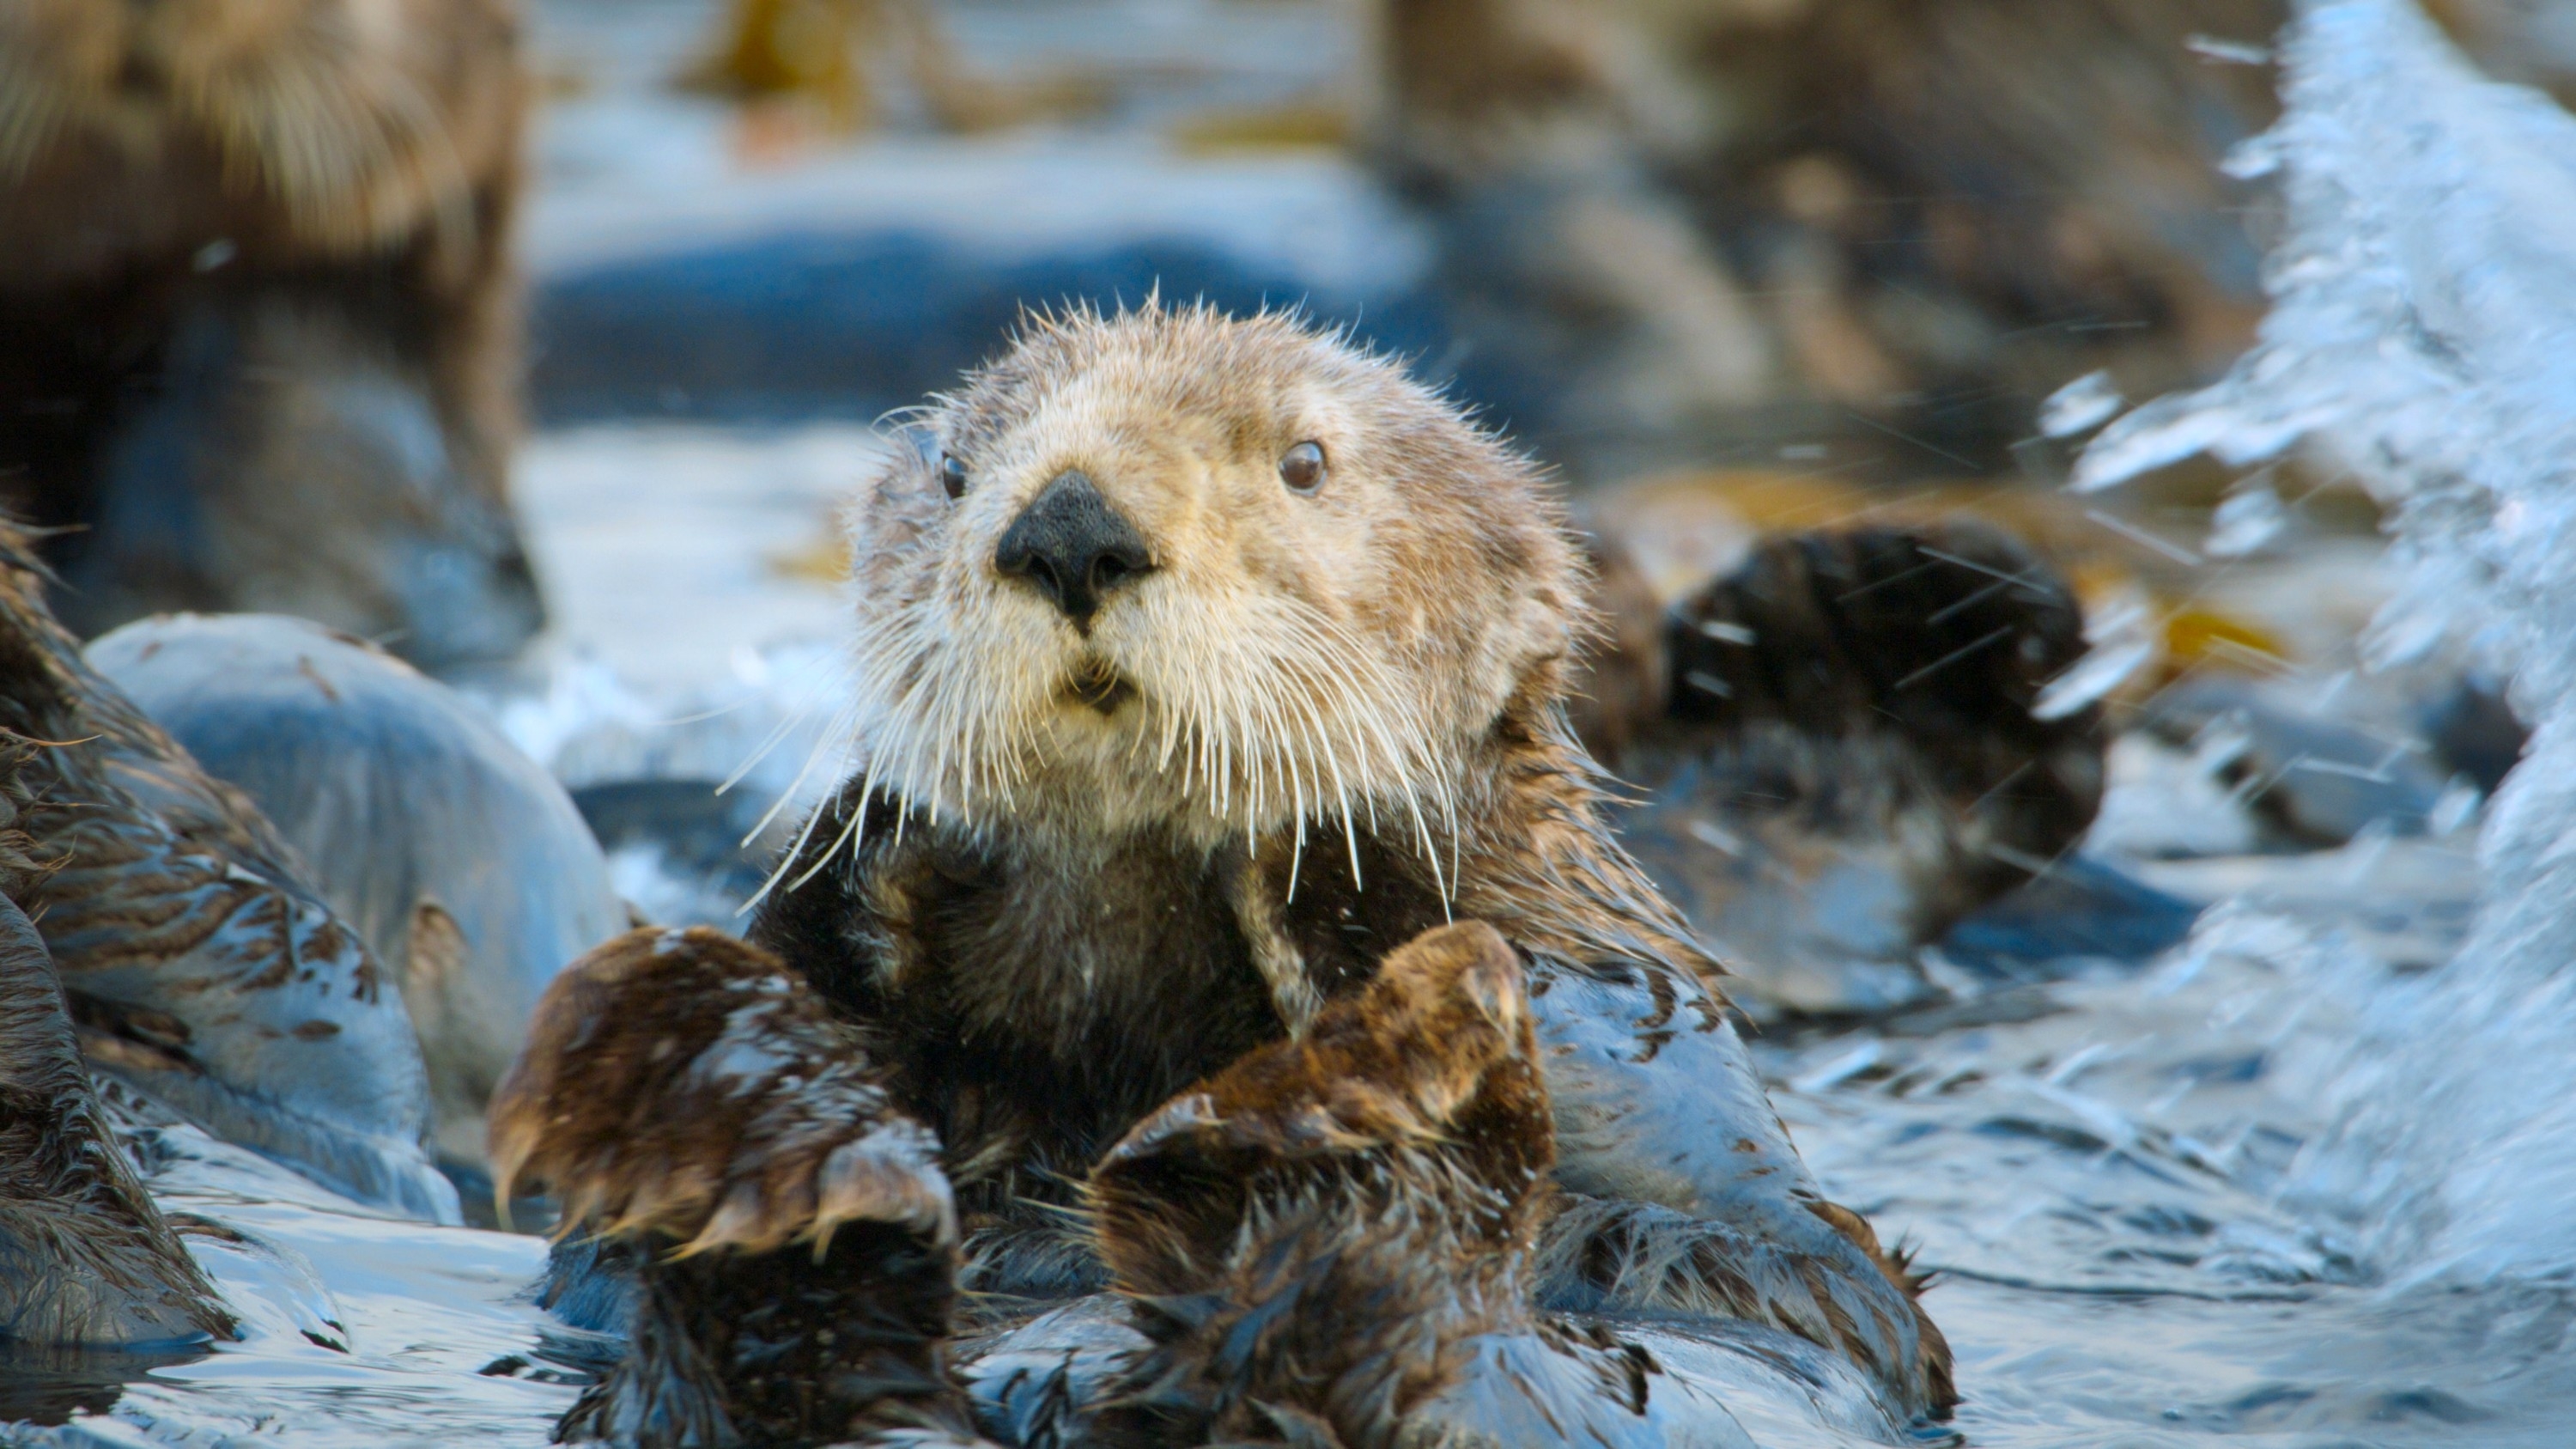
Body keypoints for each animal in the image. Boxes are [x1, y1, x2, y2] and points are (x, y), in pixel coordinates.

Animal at [488, 305, 2119, 1445]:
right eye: (954, 473)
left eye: (1307, 461)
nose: (1067, 522)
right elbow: (591, 1258)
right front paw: (868, 845)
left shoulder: (1631, 1018)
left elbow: (1763, 1244)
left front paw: (1333, 858)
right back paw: (735, 1115)